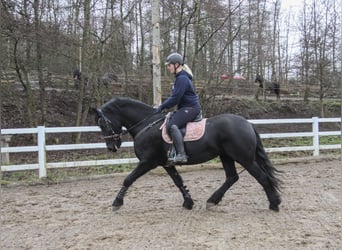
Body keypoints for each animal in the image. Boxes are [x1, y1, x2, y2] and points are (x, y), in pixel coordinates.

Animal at [95, 96, 282, 212]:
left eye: (103, 123)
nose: (111, 147)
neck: (147, 124)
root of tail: (248, 123)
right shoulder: (166, 163)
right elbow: (178, 181)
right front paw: (188, 202)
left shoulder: (148, 162)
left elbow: (128, 179)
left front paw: (117, 202)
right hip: (226, 156)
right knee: (232, 177)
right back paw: (212, 200)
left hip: (244, 158)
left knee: (261, 177)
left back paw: (274, 203)